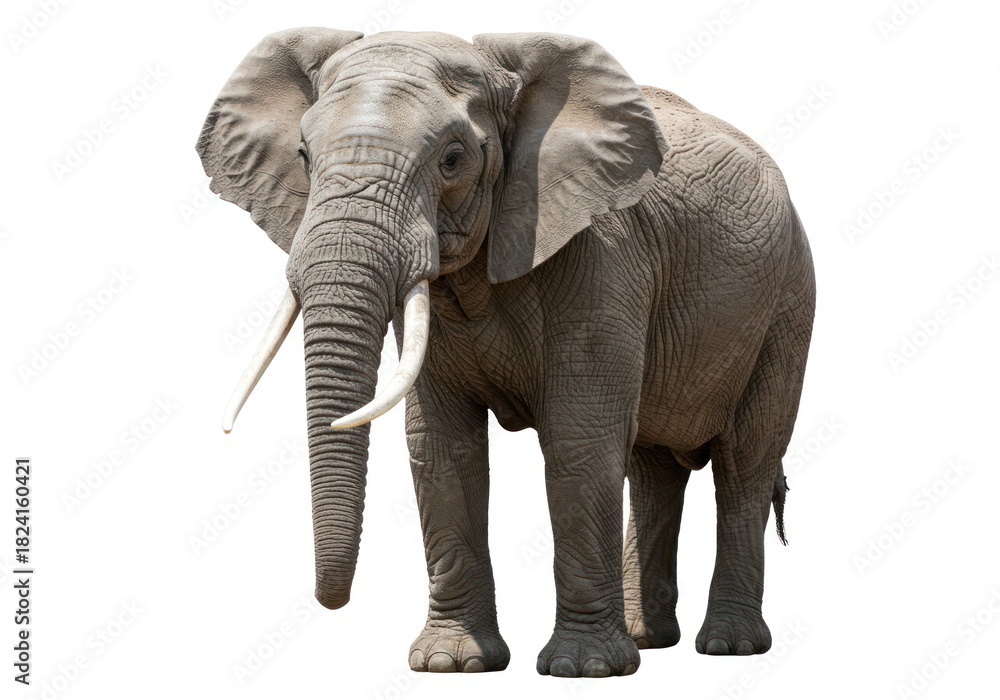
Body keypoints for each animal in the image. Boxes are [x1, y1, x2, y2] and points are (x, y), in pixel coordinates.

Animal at [196, 29, 815, 678]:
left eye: (452, 159)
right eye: (303, 156)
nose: (332, 602)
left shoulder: (602, 255)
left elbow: (580, 440)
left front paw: (582, 669)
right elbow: (442, 447)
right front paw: (451, 663)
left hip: (788, 303)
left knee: (744, 463)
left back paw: (729, 646)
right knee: (654, 469)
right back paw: (649, 640)